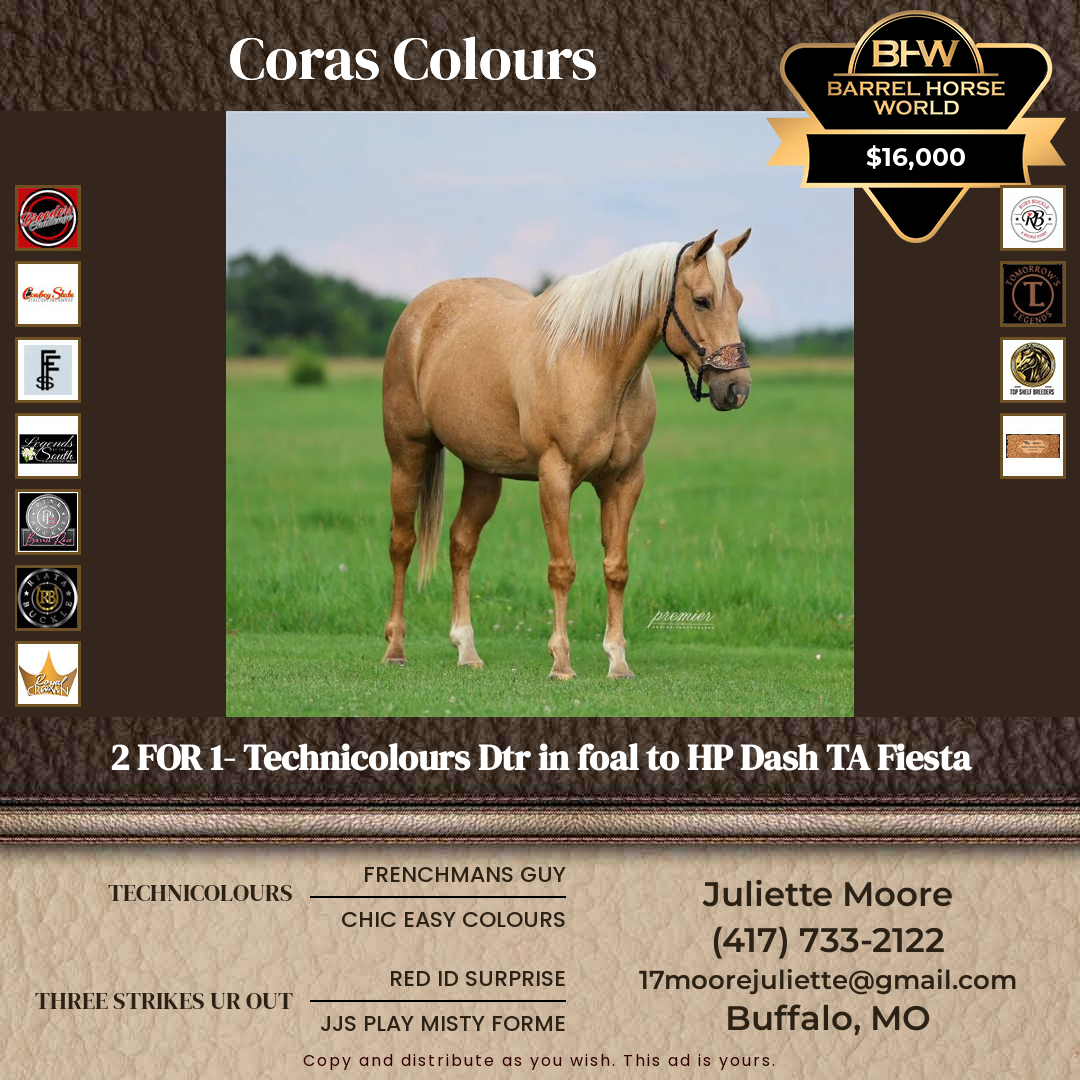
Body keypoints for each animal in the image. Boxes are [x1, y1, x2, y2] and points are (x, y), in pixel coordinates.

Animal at [380, 228, 752, 679]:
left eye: (738, 301)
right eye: (701, 300)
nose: (737, 390)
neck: (594, 361)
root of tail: (418, 313)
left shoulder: (625, 481)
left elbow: (616, 568)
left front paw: (618, 660)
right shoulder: (555, 477)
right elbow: (562, 569)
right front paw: (561, 661)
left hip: (482, 471)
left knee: (461, 543)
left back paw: (467, 650)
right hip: (407, 456)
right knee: (402, 543)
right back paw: (395, 648)